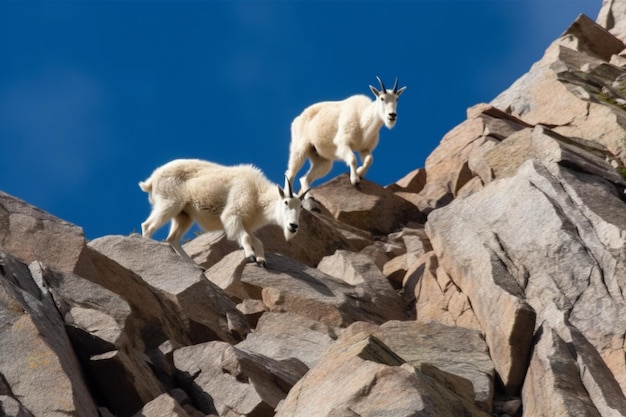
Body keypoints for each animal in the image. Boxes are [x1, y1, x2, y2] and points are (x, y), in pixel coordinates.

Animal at [138, 158, 306, 264]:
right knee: (148, 226)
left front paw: (261, 260)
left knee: (172, 238)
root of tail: (151, 180)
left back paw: (193, 264)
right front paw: (251, 257)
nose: (293, 226)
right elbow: (245, 237)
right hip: (169, 202)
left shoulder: (245, 224)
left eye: (301, 207)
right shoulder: (233, 215)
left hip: (184, 215)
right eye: (286, 202)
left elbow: (257, 241)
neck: (257, 195)